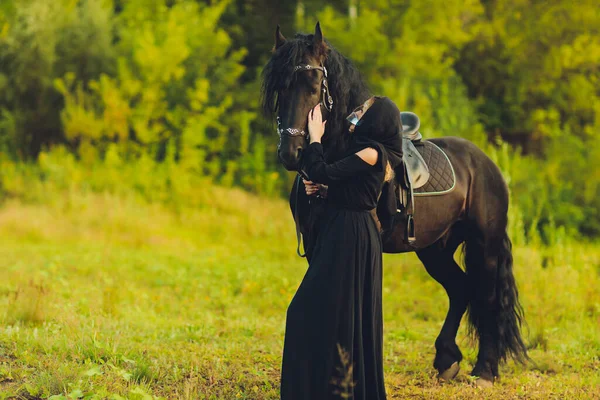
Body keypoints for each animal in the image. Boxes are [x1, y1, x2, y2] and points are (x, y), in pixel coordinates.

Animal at [260, 23, 528, 386]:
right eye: (278, 87)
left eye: (315, 85)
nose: (291, 153)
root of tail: (486, 164)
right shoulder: (315, 244)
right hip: (435, 249)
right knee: (460, 289)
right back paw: (447, 359)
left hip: (484, 245)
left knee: (486, 297)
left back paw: (485, 370)